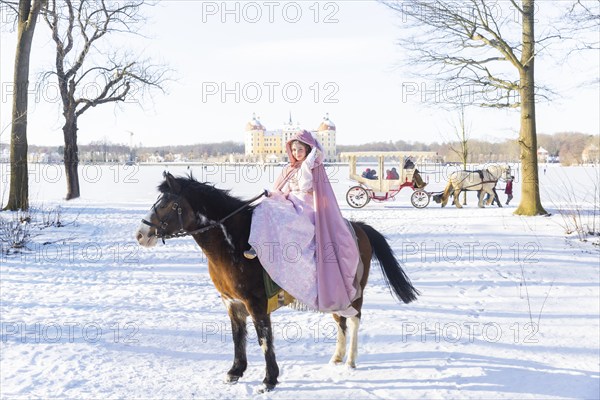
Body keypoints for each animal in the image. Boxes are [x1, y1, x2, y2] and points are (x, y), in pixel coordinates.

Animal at [135, 173, 418, 392]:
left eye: (168, 204)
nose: (141, 233)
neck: (235, 243)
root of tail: (358, 227)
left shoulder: (256, 303)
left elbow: (264, 339)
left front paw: (269, 379)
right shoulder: (231, 302)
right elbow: (238, 337)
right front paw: (236, 371)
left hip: (354, 291)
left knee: (355, 319)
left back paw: (350, 360)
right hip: (334, 293)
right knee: (341, 322)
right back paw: (337, 357)